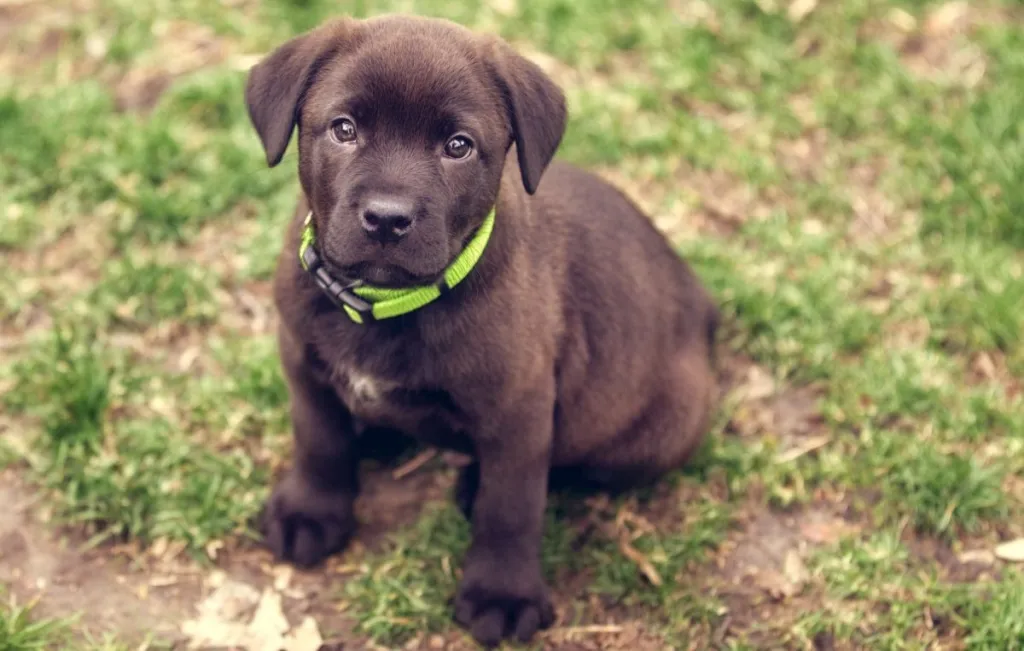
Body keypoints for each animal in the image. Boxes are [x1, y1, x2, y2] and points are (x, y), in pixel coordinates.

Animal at [243, 14, 716, 646]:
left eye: (458, 146)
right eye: (343, 129)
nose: (387, 219)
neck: (389, 304)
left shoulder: (518, 410)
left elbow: (510, 508)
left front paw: (502, 594)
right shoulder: (304, 363)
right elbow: (318, 439)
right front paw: (310, 512)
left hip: (660, 431)